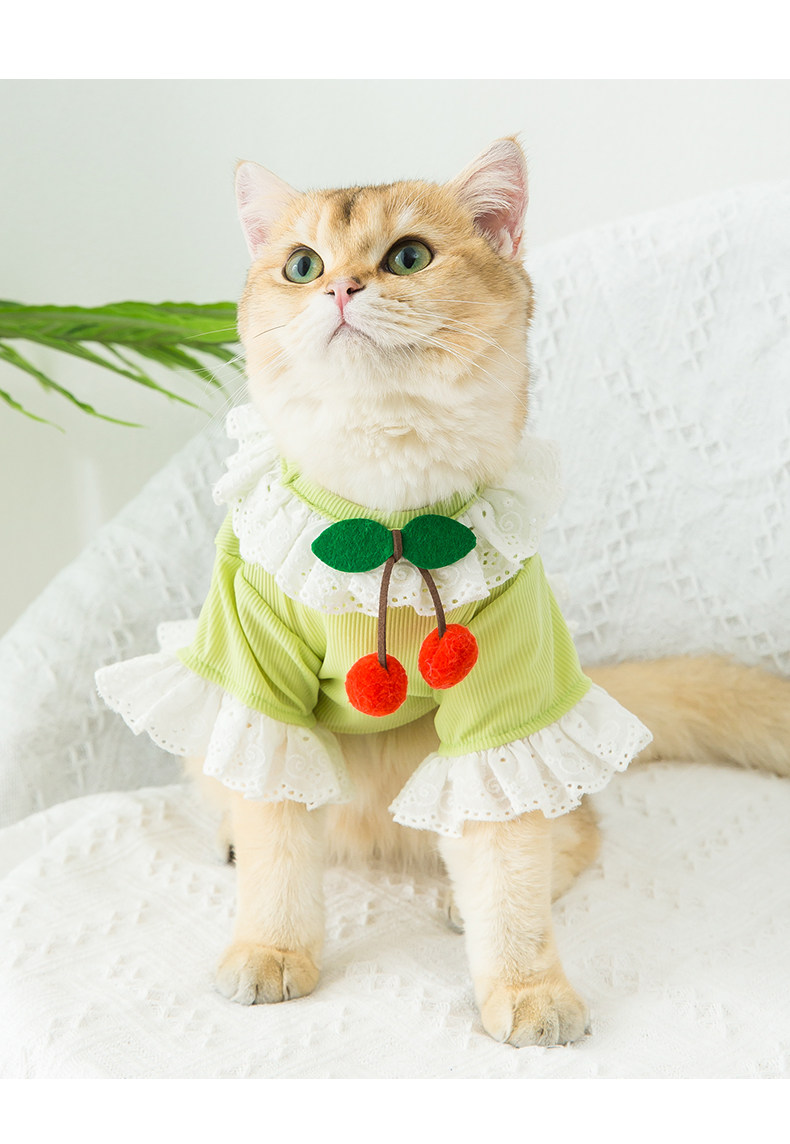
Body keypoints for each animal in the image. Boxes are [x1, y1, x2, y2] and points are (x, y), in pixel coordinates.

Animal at [98, 138, 790, 1047]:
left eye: (408, 258)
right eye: (302, 265)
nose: (340, 289)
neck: (384, 520)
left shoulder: (503, 709)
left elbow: (509, 859)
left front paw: (528, 987)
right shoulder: (260, 687)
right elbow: (280, 842)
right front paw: (272, 949)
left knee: (573, 831)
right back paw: (233, 841)